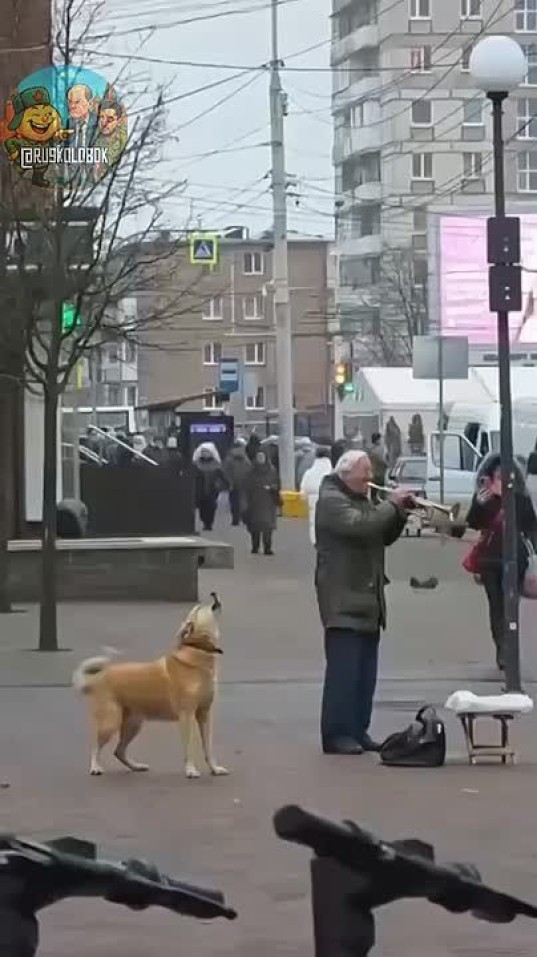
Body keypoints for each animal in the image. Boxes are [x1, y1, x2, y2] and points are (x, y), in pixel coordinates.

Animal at [72, 594, 228, 780]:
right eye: (199, 608)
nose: (213, 593)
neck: (198, 650)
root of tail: (98, 678)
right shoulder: (186, 715)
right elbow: (189, 748)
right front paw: (190, 769)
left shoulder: (204, 715)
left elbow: (208, 747)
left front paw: (214, 768)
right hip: (111, 722)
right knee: (96, 746)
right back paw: (95, 767)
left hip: (133, 724)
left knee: (119, 751)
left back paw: (136, 766)